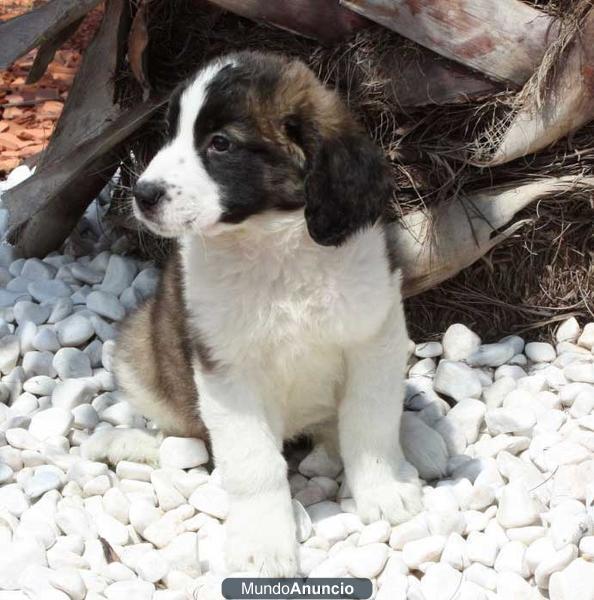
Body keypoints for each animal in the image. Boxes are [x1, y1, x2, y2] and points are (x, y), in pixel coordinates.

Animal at [113, 51, 424, 576]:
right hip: (136, 350)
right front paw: (264, 542)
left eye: (221, 144)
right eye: (170, 133)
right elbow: (253, 463)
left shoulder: (374, 339)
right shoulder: (227, 372)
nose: (143, 194)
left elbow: (370, 423)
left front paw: (383, 490)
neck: (273, 248)